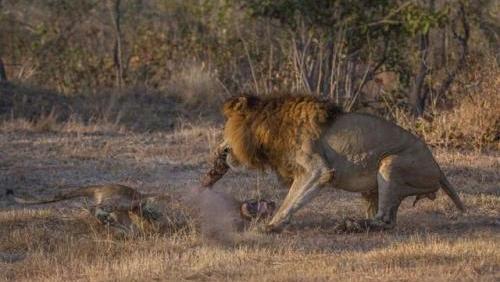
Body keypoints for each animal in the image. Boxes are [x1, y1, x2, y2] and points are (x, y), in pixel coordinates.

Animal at [210, 96, 464, 232]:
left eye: (225, 129)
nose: (219, 151)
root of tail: (437, 167)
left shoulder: (318, 170)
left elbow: (292, 199)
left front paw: (273, 224)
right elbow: (292, 196)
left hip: (390, 163)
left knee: (385, 220)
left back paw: (350, 226)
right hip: (376, 186)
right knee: (387, 217)